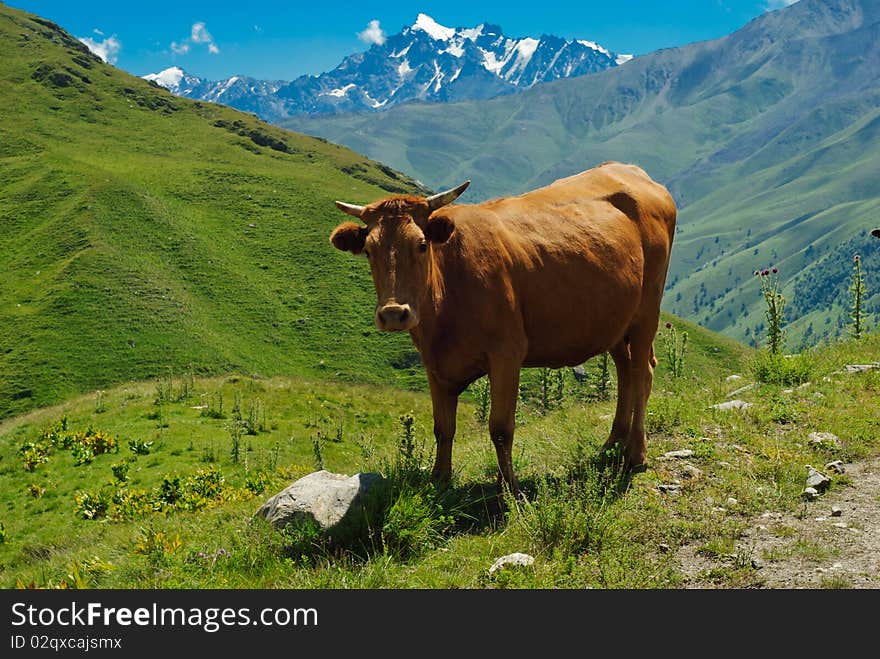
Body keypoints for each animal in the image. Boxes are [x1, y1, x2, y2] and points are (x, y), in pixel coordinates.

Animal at [326, 162, 676, 498]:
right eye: (369, 250)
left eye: (421, 244)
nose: (394, 314)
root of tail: (631, 170)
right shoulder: (434, 364)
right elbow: (443, 428)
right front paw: (440, 481)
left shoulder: (507, 353)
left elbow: (500, 427)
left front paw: (510, 490)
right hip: (615, 319)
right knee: (626, 373)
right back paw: (611, 444)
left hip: (647, 310)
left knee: (642, 372)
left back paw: (635, 454)